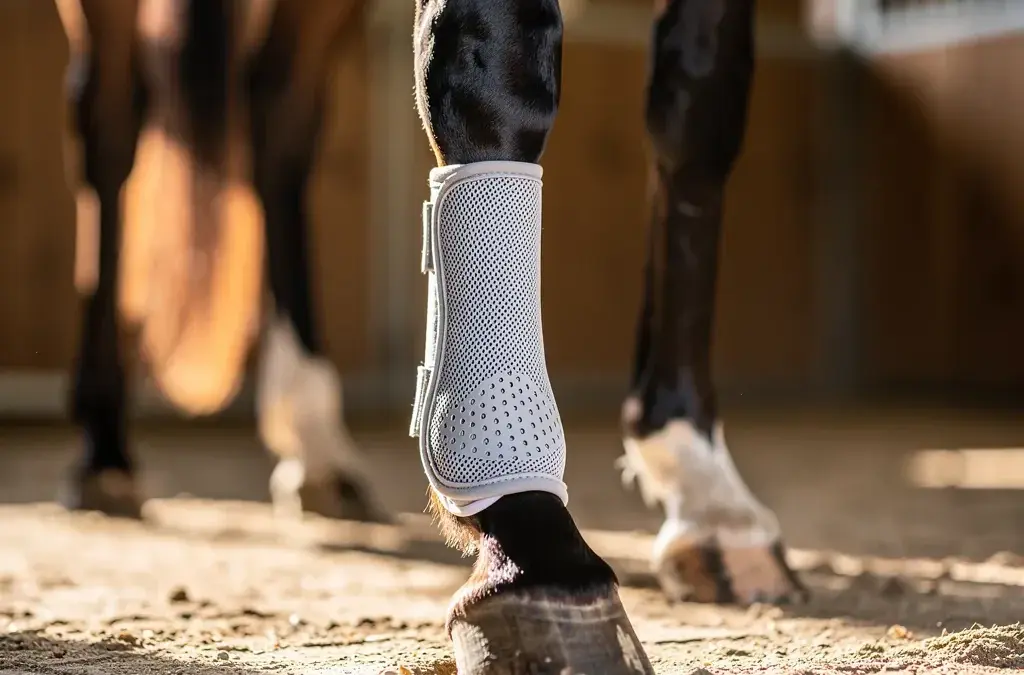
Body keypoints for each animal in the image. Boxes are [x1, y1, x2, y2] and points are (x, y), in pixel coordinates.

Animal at [54, 0, 805, 672]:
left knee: (279, 106)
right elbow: (498, 74)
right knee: (110, 118)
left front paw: (701, 485)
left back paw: (315, 438)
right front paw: (534, 546)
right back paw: (105, 448)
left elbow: (699, 103)